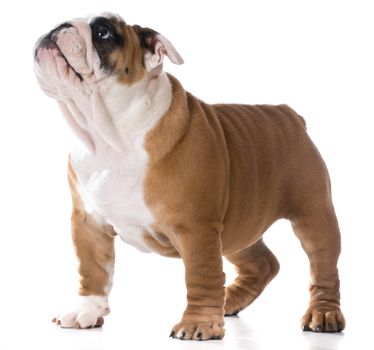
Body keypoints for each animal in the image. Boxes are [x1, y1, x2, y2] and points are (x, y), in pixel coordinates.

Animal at [33, 13, 346, 340]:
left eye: (103, 32)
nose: (59, 27)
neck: (108, 137)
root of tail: (290, 115)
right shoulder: (88, 223)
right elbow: (93, 270)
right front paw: (86, 310)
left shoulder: (196, 229)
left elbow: (201, 275)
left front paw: (200, 323)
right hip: (236, 227)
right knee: (263, 264)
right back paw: (228, 301)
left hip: (313, 215)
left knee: (323, 267)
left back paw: (324, 314)